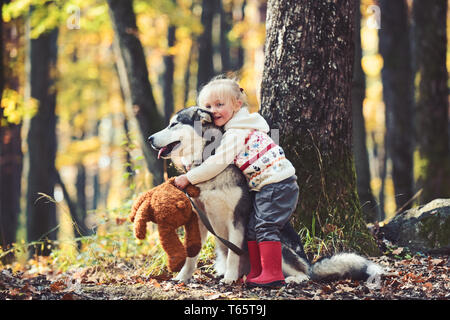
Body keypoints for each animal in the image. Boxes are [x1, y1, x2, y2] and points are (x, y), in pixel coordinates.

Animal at [149, 106, 384, 284]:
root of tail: (308, 261)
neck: (207, 157)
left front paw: (230, 279)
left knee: (303, 273)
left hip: (283, 248)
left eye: (174, 124)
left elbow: (234, 254)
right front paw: (183, 277)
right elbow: (192, 254)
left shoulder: (237, 218)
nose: (150, 138)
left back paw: (290, 279)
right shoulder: (199, 219)